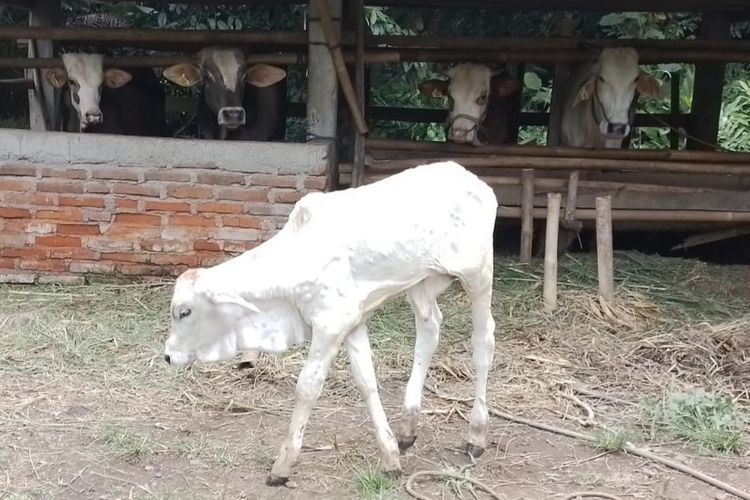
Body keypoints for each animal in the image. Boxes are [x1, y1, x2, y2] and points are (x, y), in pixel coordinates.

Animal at [167, 162, 502, 486]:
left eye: (185, 312)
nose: (168, 356)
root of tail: (473, 180)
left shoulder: (330, 326)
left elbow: (307, 387)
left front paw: (283, 465)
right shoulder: (351, 323)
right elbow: (367, 382)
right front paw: (390, 457)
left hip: (478, 275)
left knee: (483, 342)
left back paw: (477, 433)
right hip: (420, 284)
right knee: (430, 329)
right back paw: (408, 427)